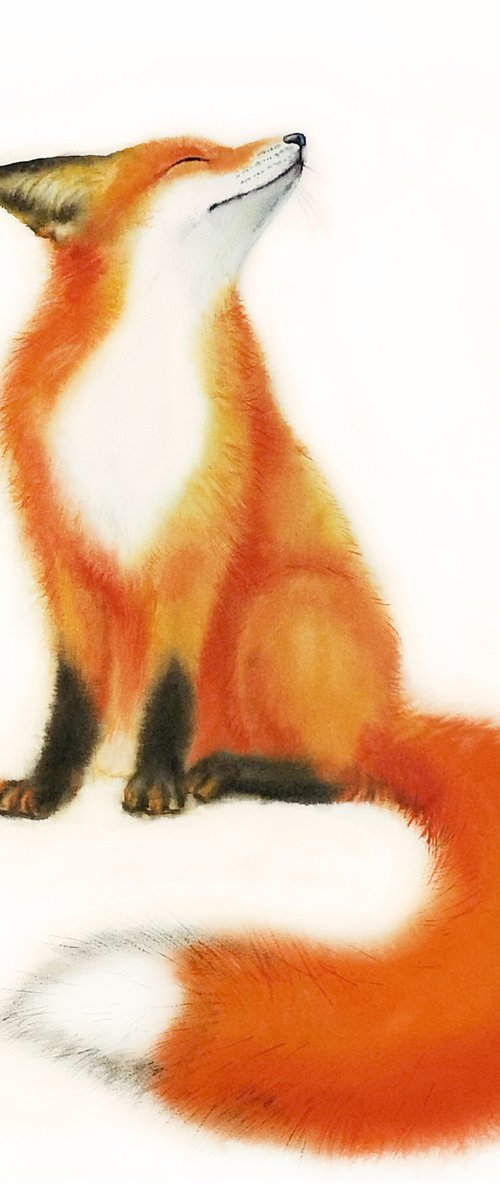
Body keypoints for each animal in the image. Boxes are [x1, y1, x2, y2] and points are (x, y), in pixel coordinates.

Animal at [1, 130, 500, 1158]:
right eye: (189, 159)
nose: (299, 137)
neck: (135, 402)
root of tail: (395, 711)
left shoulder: (197, 551)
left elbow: (168, 692)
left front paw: (155, 787)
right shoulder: (61, 558)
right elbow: (73, 700)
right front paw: (49, 791)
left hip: (282, 610)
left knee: (344, 773)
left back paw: (220, 771)